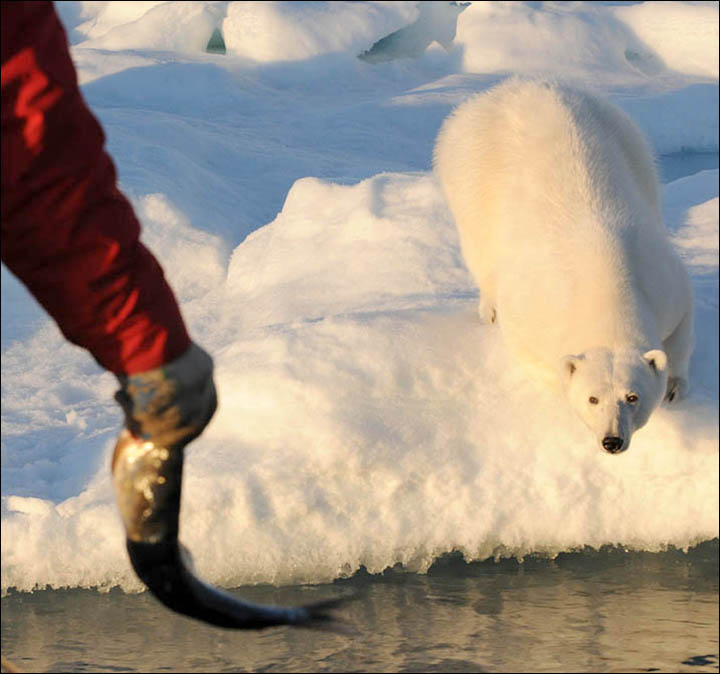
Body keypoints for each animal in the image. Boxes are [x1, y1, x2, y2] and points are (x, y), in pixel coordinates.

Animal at [434, 81, 692, 454]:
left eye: (632, 396)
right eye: (593, 398)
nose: (612, 440)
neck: (606, 282)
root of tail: (512, 86)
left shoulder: (660, 278)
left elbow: (681, 328)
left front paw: (674, 386)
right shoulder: (534, 309)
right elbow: (533, 353)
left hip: (626, 136)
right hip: (469, 168)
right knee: (479, 245)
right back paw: (488, 308)